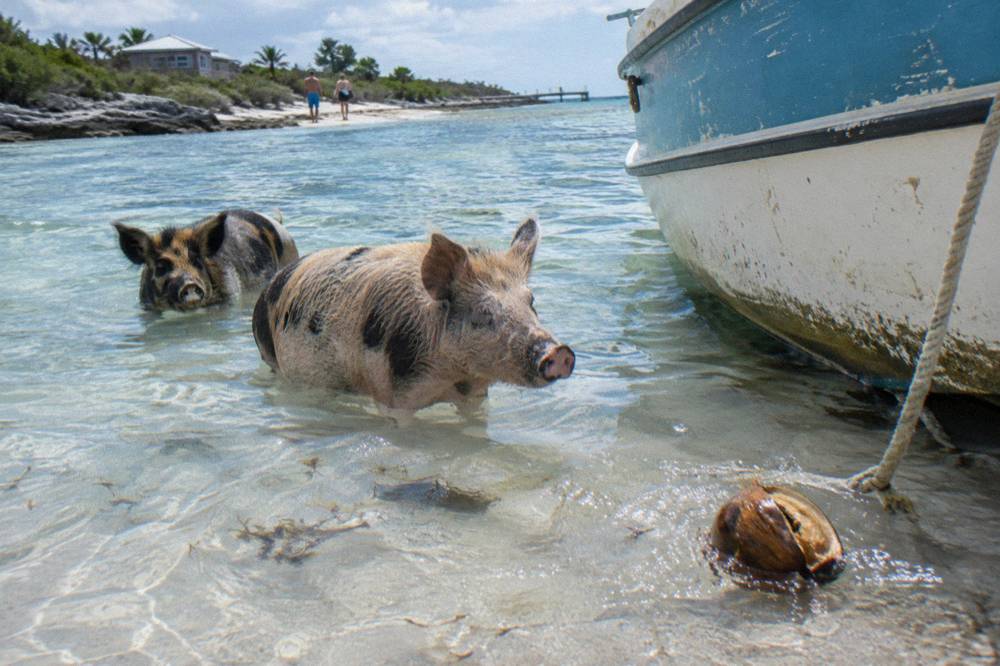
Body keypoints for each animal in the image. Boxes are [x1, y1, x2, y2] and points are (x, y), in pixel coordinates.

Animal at [252, 218, 575, 415]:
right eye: (483, 313)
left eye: (531, 301)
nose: (558, 352)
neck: (453, 376)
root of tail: (270, 285)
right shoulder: (393, 395)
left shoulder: (476, 394)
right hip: (273, 358)